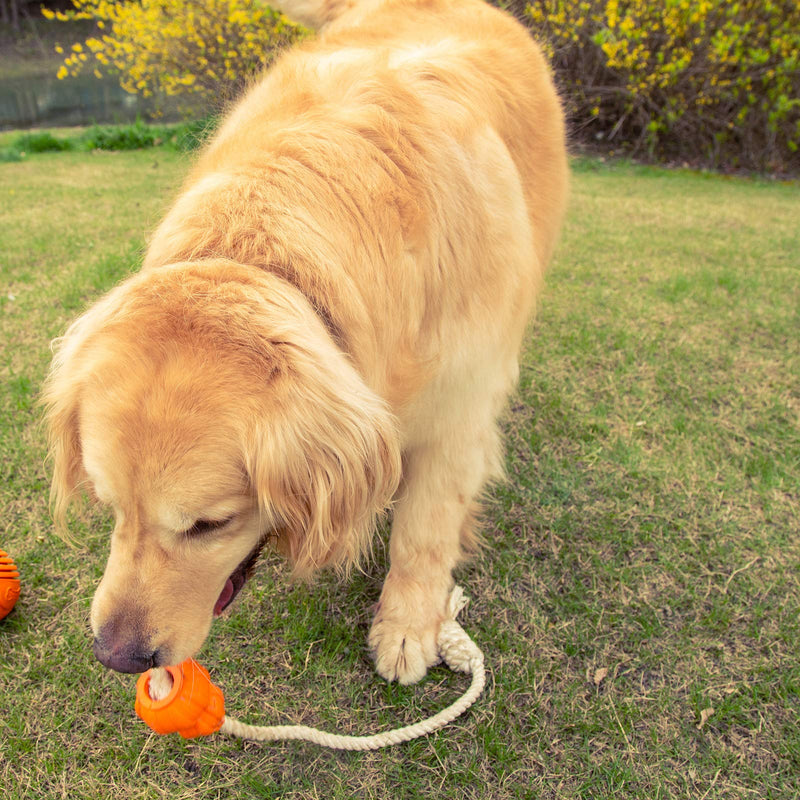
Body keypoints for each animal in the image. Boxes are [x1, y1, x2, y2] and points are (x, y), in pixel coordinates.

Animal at [43, 0, 568, 684]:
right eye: (111, 507)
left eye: (210, 524)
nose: (116, 656)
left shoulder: (460, 403)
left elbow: (425, 529)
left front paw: (407, 624)